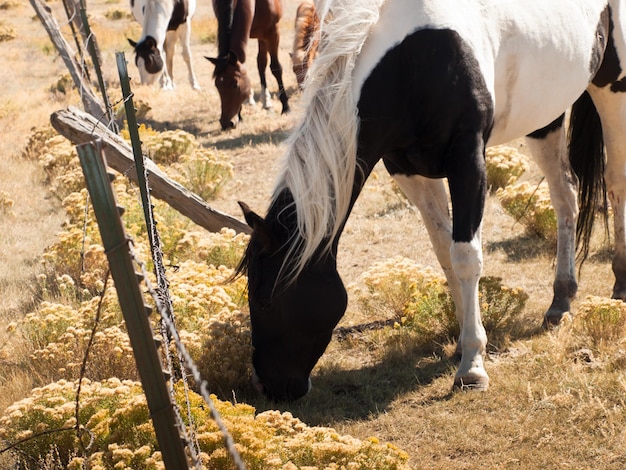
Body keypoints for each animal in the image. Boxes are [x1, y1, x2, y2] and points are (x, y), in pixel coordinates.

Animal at [207, 0, 290, 130]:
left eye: (235, 85)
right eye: (217, 85)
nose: (226, 123)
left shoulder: (272, 32)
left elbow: (276, 68)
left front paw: (286, 107)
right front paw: (240, 115)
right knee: (261, 63)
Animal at [235, 0, 624, 400]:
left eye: (265, 299)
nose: (266, 386)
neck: (409, 61)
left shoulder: (468, 161)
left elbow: (466, 256)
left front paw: (472, 367)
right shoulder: (407, 170)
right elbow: (444, 253)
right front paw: (461, 344)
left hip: (612, 89)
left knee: (615, 182)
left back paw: (620, 282)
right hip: (544, 117)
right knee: (565, 196)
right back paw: (561, 299)